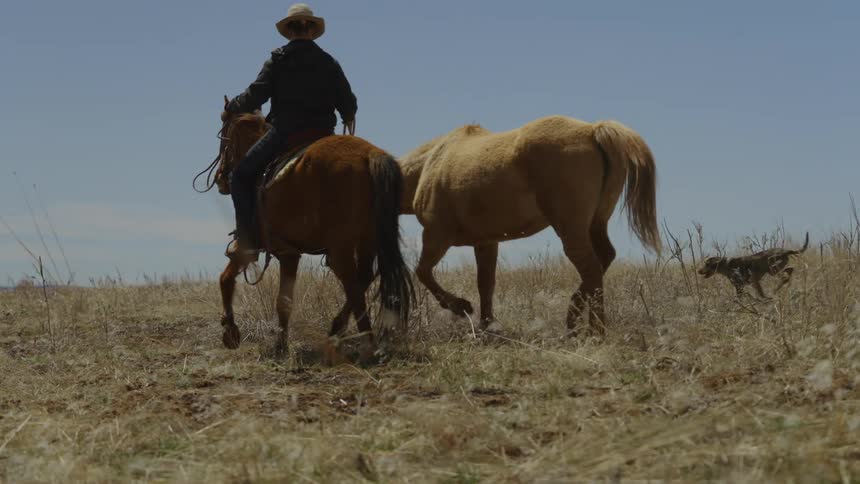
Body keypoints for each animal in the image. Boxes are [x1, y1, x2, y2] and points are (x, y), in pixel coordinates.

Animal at [209, 103, 413, 362]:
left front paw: (232, 331)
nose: (220, 178)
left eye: (223, 139)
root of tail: (370, 155)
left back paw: (366, 342)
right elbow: (285, 301)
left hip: (341, 248)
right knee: (363, 277)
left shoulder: (264, 249)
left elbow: (228, 279)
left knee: (352, 282)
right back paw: (339, 332)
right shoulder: (290, 254)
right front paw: (280, 344)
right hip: (368, 239)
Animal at [398, 115, 661, 336]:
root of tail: (592, 130)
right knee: (603, 259)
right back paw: (575, 318)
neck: (430, 163)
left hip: (571, 230)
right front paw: (486, 325)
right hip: (595, 224)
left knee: (591, 269)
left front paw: (460, 306)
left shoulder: (436, 235)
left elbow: (423, 271)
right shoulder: (486, 242)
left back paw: (593, 330)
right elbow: (485, 283)